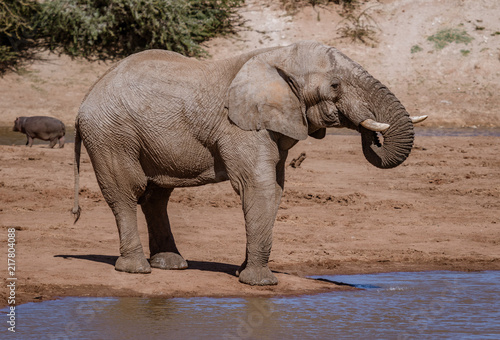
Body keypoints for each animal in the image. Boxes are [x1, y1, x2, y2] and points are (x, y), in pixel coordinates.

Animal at [72, 41, 428, 286]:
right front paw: (260, 283)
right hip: (110, 132)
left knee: (157, 196)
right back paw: (136, 269)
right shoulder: (239, 126)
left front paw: (244, 273)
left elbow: (276, 189)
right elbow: (258, 186)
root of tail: (86, 97)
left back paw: (170, 264)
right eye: (335, 85)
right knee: (126, 191)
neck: (277, 55)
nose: (374, 136)